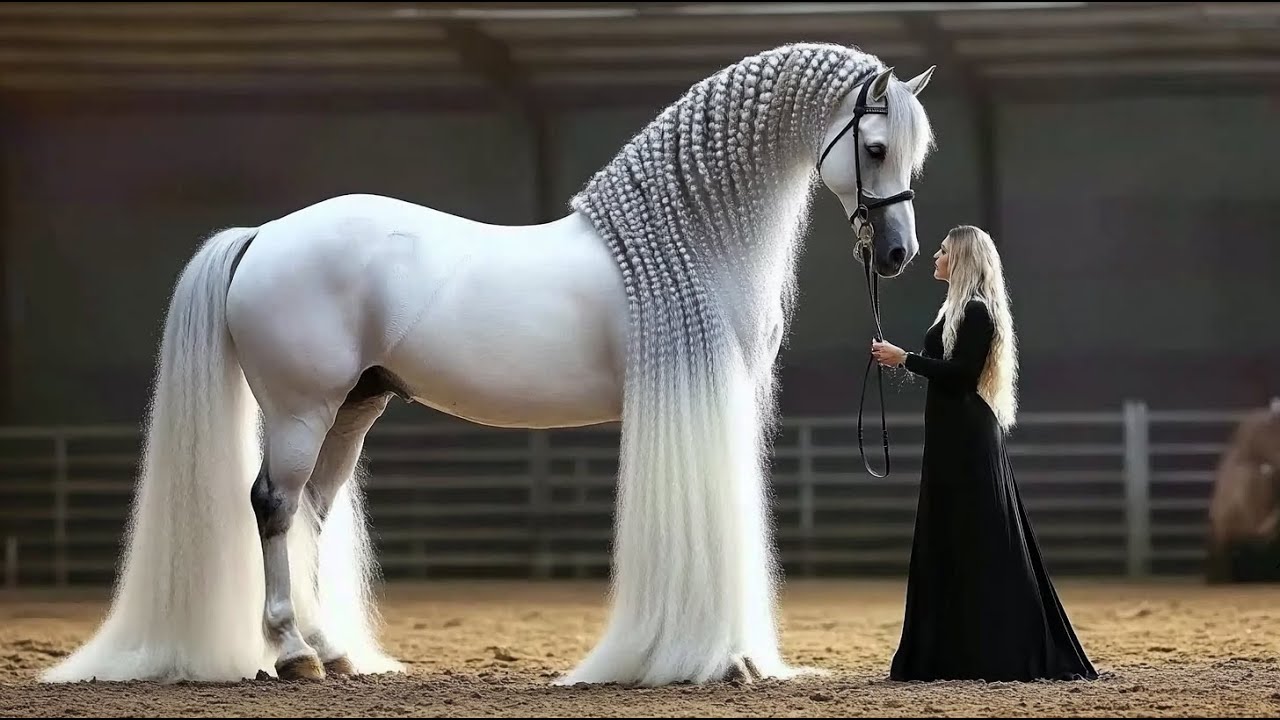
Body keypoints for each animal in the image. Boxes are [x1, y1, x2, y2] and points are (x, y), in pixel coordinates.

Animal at [41, 42, 936, 688]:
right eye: (875, 147)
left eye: (912, 159)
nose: (897, 256)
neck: (683, 240)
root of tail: (263, 235)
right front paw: (724, 664)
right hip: (300, 408)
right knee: (273, 505)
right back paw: (292, 653)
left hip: (352, 409)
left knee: (313, 513)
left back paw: (333, 653)